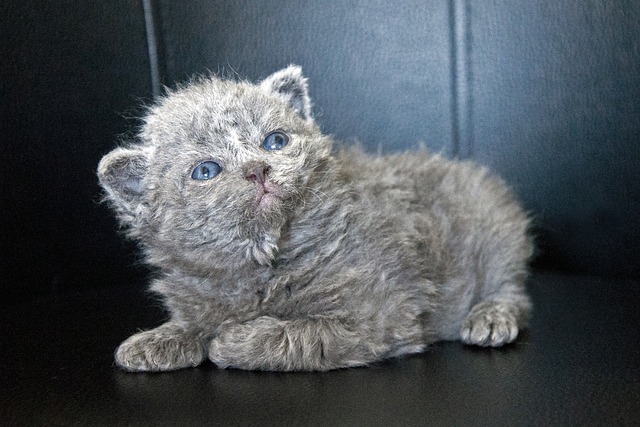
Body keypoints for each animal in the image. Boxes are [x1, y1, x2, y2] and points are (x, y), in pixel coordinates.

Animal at [97, 65, 532, 372]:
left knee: (513, 289)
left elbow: (305, 334)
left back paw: (491, 317)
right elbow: (192, 320)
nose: (258, 169)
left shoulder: (382, 317)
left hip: (495, 234)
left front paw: (233, 341)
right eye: (205, 171)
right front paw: (157, 340)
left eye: (275, 141)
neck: (266, 261)